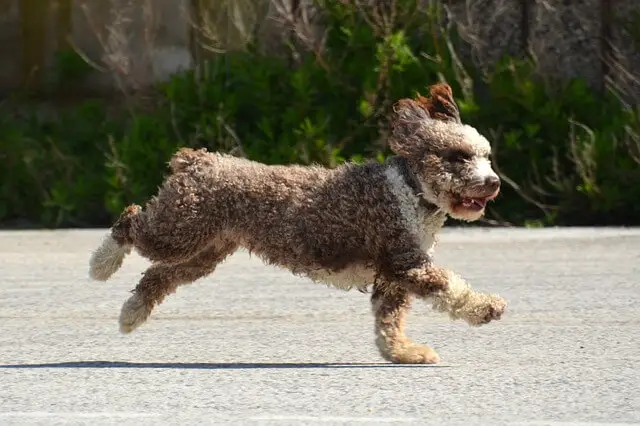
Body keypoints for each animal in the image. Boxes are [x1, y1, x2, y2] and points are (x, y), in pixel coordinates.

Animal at [90, 84, 508, 366]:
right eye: (458, 156)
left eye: (486, 156)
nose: (493, 182)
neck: (413, 190)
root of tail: (199, 159)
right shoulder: (406, 262)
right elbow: (451, 287)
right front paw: (486, 307)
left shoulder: (392, 277)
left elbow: (389, 322)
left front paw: (403, 352)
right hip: (180, 229)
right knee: (129, 222)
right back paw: (101, 265)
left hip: (203, 251)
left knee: (157, 276)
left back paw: (131, 314)